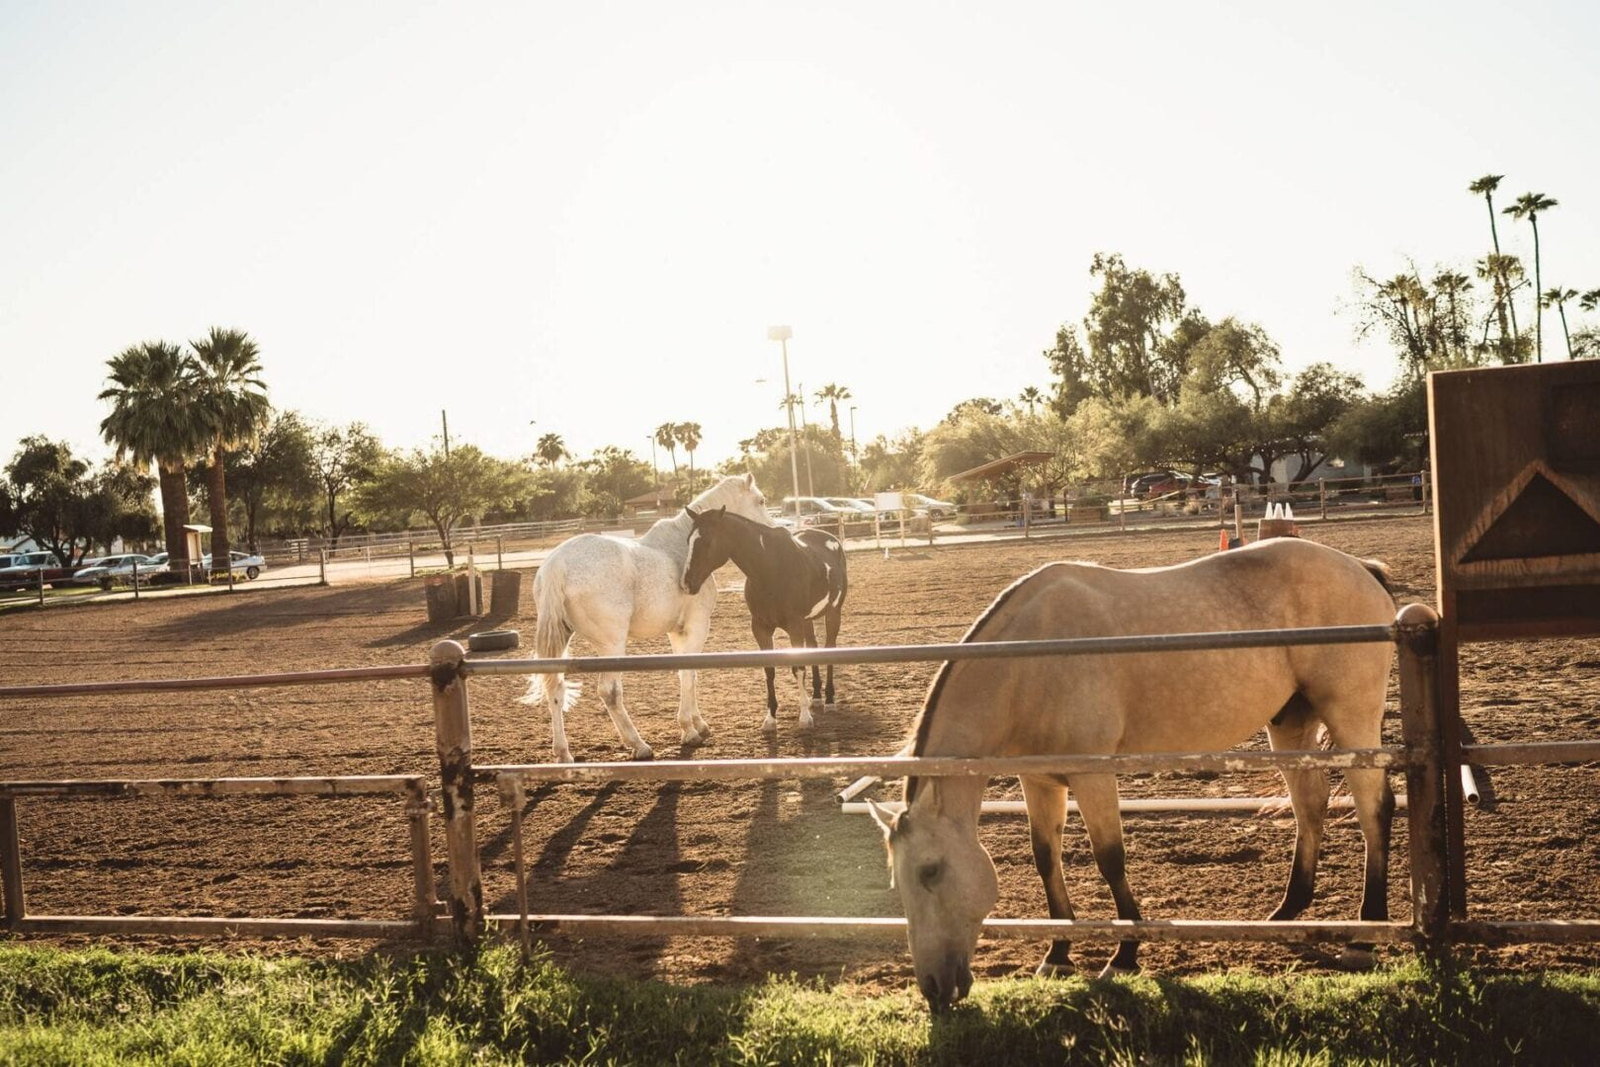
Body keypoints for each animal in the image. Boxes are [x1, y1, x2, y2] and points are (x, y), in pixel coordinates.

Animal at [521, 473, 774, 763]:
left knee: (555, 689)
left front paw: (698, 724)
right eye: (761, 500)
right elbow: (689, 673)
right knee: (609, 692)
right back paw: (639, 745)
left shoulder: (677, 632)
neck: (684, 547)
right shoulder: (697, 627)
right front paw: (689, 730)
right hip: (612, 645)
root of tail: (558, 564)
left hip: (561, 639)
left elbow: (687, 675)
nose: (772, 531)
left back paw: (563, 753)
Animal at [681, 506, 848, 731]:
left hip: (833, 613)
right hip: (808, 621)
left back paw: (829, 700)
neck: (770, 568)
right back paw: (816, 696)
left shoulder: (794, 626)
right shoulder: (761, 628)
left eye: (707, 541)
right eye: (688, 540)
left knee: (830, 648)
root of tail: (830, 538)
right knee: (813, 647)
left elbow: (798, 668)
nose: (687, 583)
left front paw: (804, 717)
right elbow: (769, 669)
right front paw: (770, 718)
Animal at [867, 536, 1397, 1012]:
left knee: (1374, 808)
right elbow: (1045, 858)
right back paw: (1286, 913)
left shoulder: (1094, 777)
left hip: (1352, 718)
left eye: (930, 870)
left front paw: (1124, 956)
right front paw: (1058, 954)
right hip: (1291, 725)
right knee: (1311, 805)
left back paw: (1365, 936)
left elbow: (1111, 860)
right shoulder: (1038, 781)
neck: (1028, 661)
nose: (934, 987)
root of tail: (1361, 568)